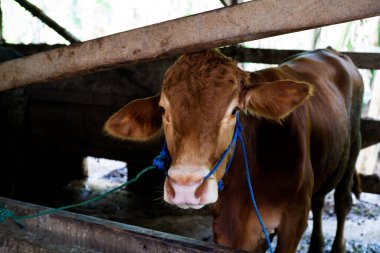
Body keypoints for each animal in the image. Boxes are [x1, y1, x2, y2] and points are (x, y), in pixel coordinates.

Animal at [104, 48, 362, 253]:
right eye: (164, 111)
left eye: (234, 111)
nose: (185, 187)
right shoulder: (226, 227)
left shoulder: (295, 219)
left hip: (354, 148)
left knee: (342, 201)